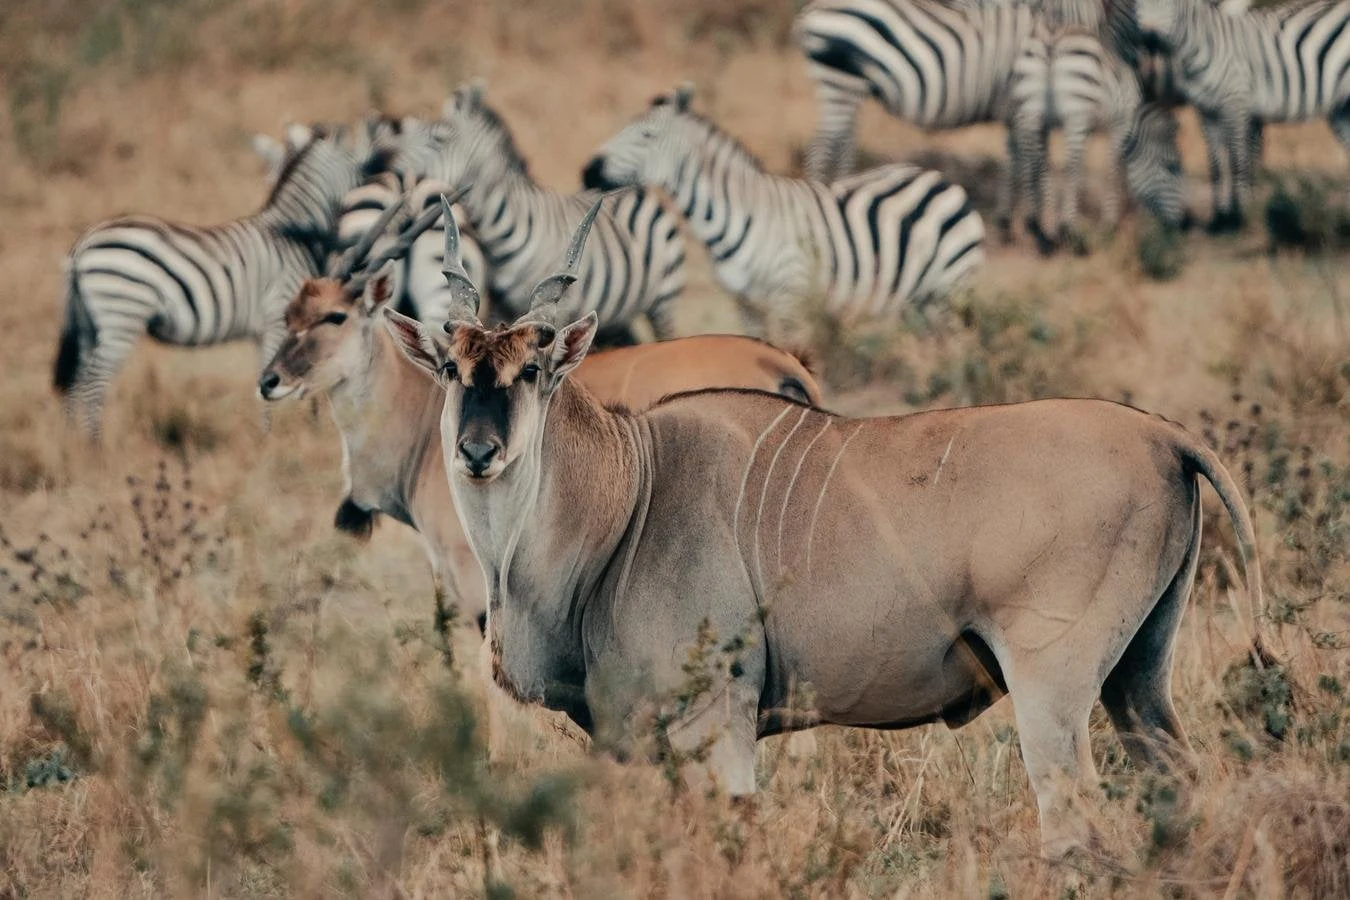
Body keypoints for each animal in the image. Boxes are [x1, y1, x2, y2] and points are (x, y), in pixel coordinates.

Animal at [53, 124, 377, 439]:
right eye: (362, 166)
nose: (378, 180)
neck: (293, 235)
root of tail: (82, 244)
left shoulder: (269, 330)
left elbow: (269, 374)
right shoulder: (277, 318)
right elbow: (276, 376)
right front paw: (271, 437)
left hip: (89, 322)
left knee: (77, 381)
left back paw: (70, 443)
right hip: (121, 313)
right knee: (94, 382)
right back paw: (95, 445)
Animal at [390, 81, 686, 342]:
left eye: (437, 139)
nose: (385, 169)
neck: (503, 234)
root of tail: (635, 188)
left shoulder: (559, 306)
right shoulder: (501, 307)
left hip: (664, 300)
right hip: (618, 315)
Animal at [581, 85, 985, 330]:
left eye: (646, 136)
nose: (587, 171)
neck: (730, 218)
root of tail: (939, 178)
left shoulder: (788, 296)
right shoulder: (744, 305)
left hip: (951, 287)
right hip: (919, 299)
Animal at [1006, 23, 1189, 253]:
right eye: (1172, 167)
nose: (1179, 225)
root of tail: (1052, 40)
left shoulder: (1080, 128)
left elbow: (1048, 167)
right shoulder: (1119, 125)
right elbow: (1113, 168)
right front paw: (1111, 223)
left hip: (1029, 111)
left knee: (1029, 163)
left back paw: (1036, 229)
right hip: (1076, 112)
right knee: (1071, 167)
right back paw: (1070, 230)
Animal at [1135, 0, 1350, 233]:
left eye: (1171, 166)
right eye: (1136, 5)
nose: (1147, 42)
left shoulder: (1236, 105)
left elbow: (1238, 161)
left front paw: (1239, 216)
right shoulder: (1208, 111)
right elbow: (1217, 166)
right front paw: (1220, 218)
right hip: (1342, 109)